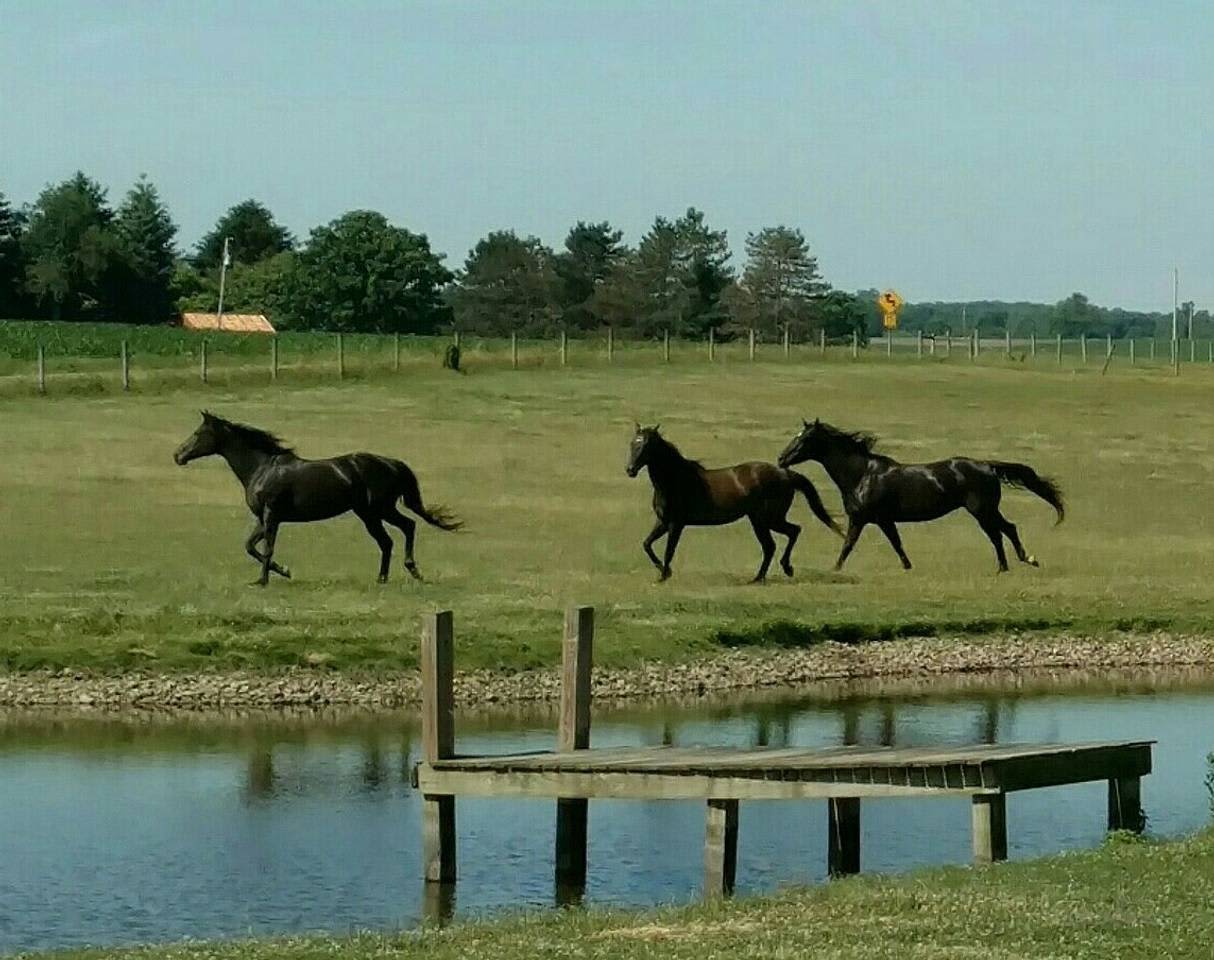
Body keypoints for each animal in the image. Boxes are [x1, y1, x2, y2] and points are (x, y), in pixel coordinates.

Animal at [168, 412, 456, 584]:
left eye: (198, 433)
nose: (177, 455)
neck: (262, 468)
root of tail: (392, 464)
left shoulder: (272, 516)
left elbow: (267, 547)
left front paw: (264, 580)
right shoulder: (264, 518)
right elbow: (250, 546)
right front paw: (282, 571)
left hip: (378, 510)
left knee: (406, 528)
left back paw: (411, 570)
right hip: (369, 513)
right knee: (389, 540)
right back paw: (383, 578)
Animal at [626, 424, 844, 582]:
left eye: (646, 446)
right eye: (632, 444)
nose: (630, 470)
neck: (675, 480)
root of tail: (785, 473)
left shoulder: (676, 524)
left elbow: (669, 550)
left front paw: (663, 576)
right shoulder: (663, 522)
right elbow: (647, 544)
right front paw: (664, 572)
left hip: (768, 519)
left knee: (791, 532)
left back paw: (784, 569)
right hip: (759, 520)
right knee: (772, 545)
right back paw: (758, 578)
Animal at [776, 417, 1063, 570]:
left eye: (804, 439)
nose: (781, 459)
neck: (861, 474)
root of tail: (987, 465)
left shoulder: (867, 519)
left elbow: (849, 545)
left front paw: (835, 570)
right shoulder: (881, 521)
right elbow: (895, 544)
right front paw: (907, 567)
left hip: (982, 510)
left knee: (1003, 531)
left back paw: (1022, 561)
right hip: (985, 511)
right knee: (1001, 532)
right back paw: (1007, 566)